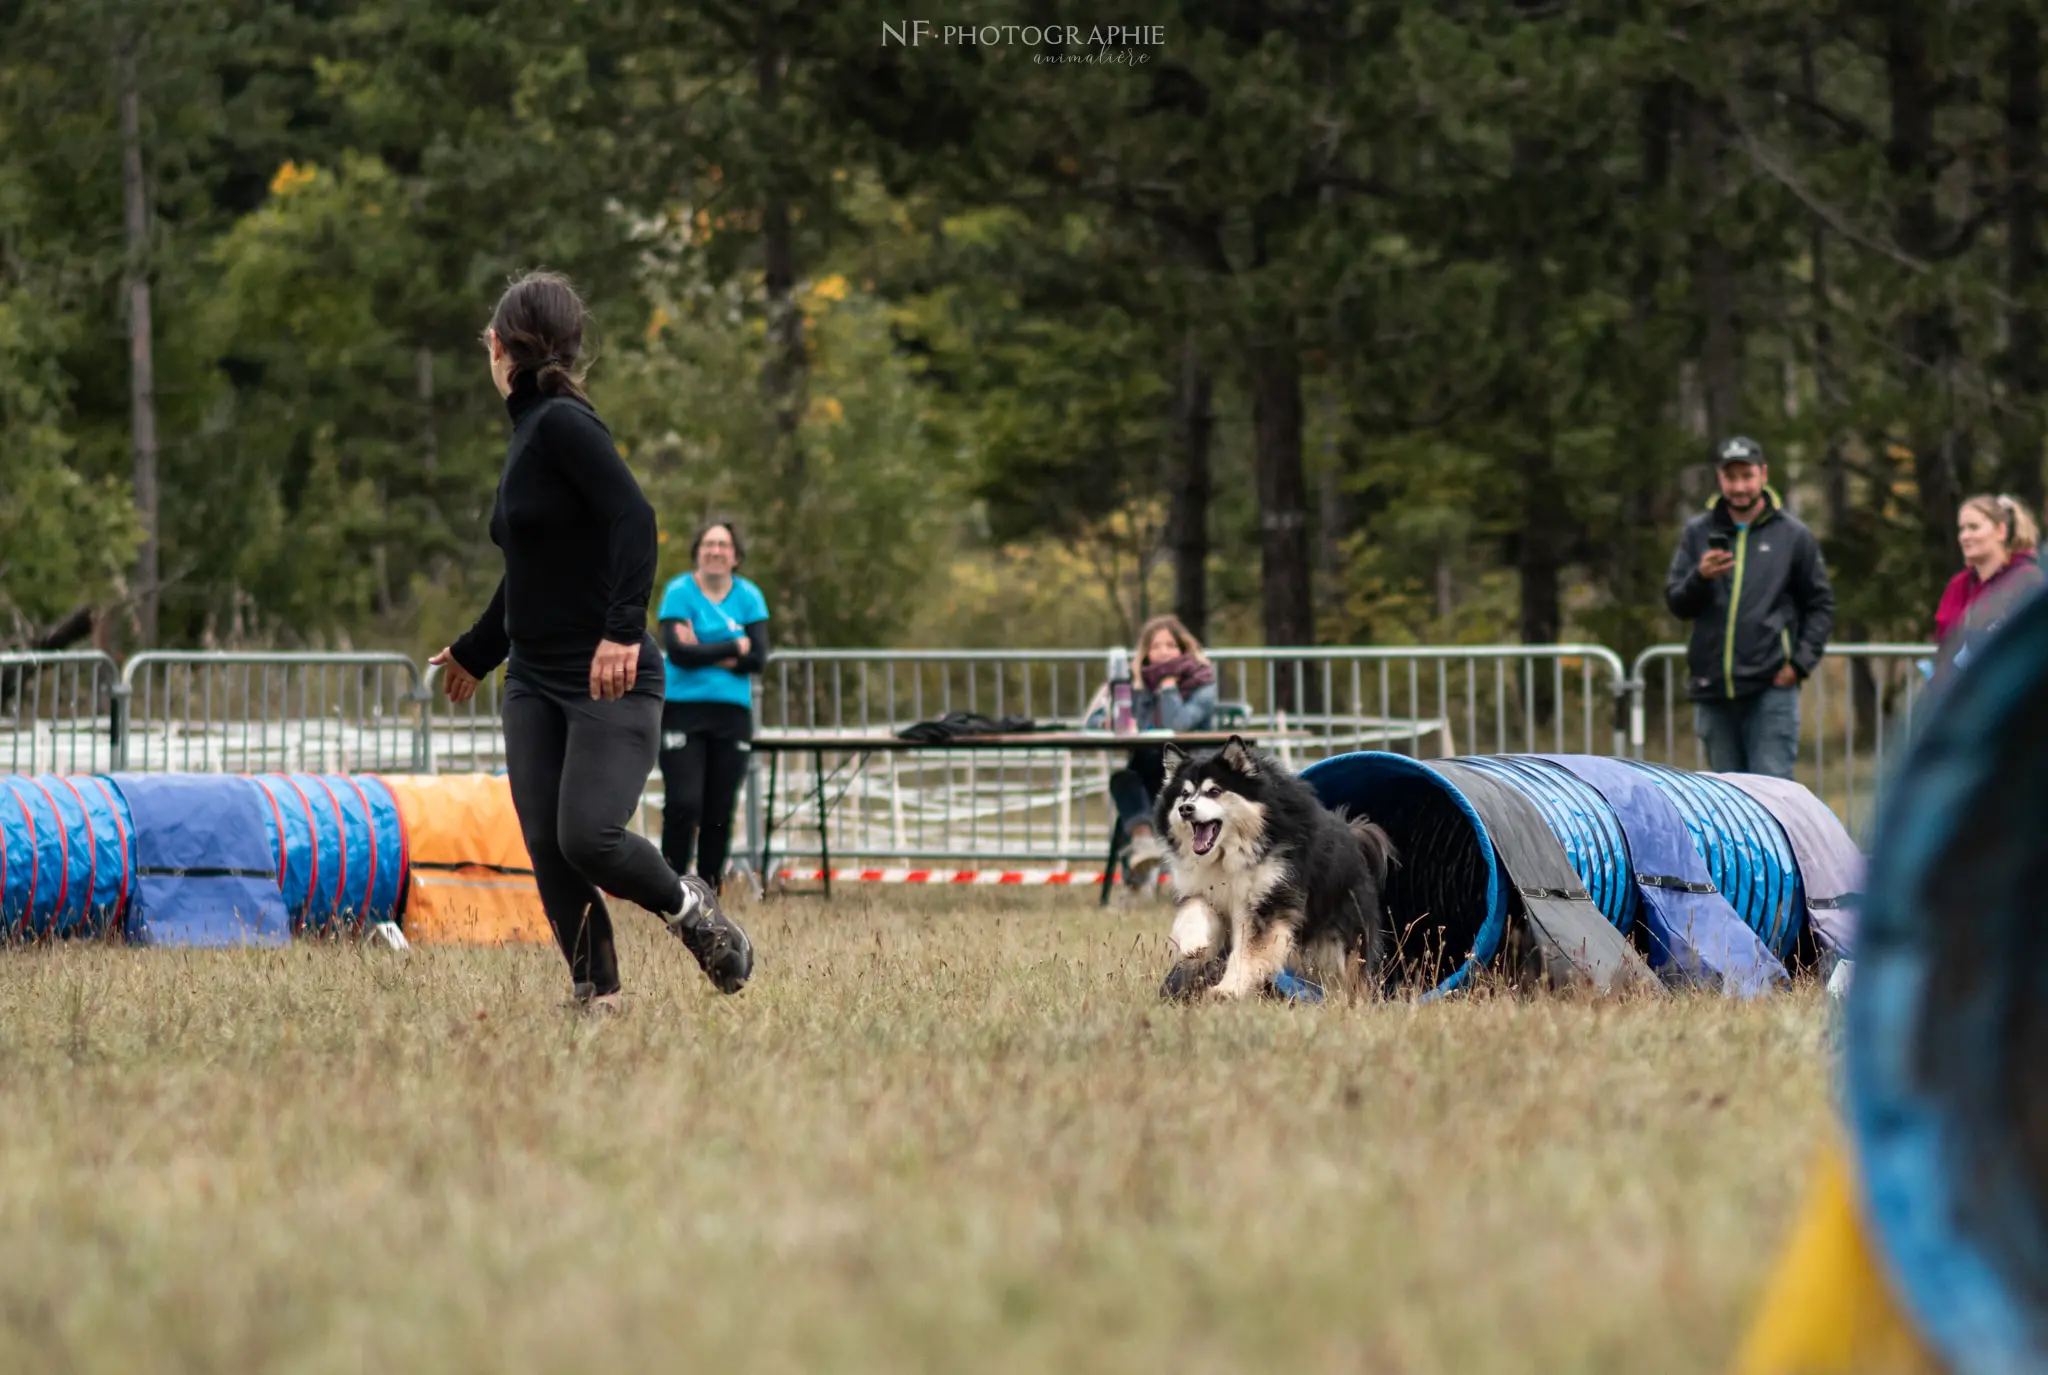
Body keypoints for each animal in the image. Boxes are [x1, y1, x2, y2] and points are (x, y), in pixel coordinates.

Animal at [1155, 741, 1392, 1000]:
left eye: (1215, 791)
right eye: (1184, 794)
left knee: (1349, 970)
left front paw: (1228, 989)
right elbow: (1195, 910)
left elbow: (1248, 951)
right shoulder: (1204, 888)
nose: (1186, 809)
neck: (1229, 856)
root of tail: (1353, 834)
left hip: (1345, 932)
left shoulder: (1266, 899)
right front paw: (1193, 944)